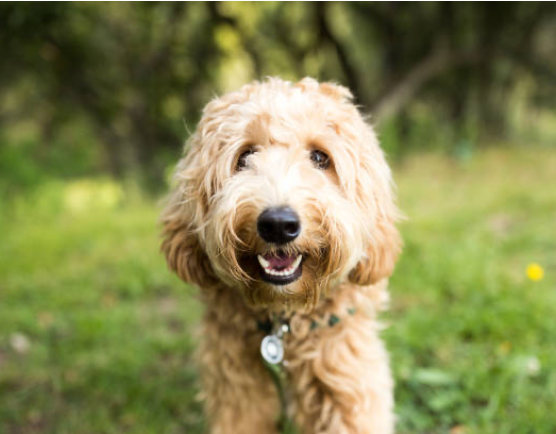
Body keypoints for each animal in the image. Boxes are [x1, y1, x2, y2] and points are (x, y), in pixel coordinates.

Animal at [160, 79, 400, 434]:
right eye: (245, 155)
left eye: (320, 157)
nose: (277, 224)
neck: (284, 322)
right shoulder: (237, 391)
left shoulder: (346, 376)